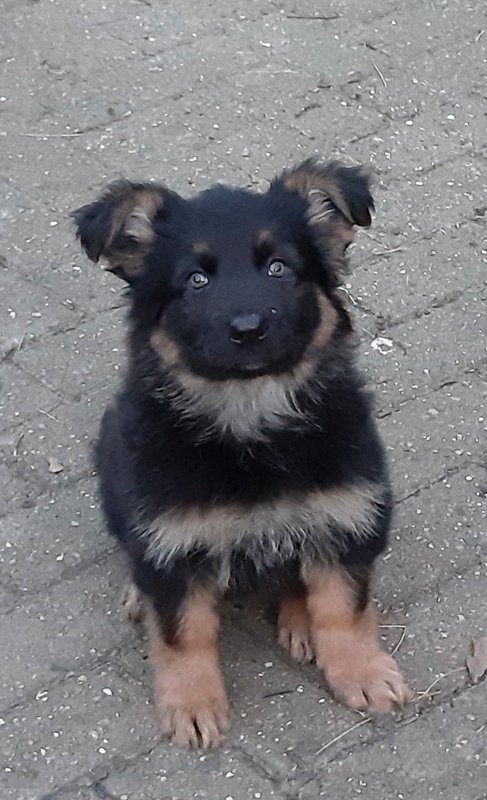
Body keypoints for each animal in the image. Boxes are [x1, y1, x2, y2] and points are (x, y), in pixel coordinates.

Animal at [73, 159, 411, 749]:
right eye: (196, 280)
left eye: (278, 267)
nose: (248, 329)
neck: (250, 417)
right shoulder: (172, 540)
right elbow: (183, 633)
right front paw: (192, 705)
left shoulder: (347, 513)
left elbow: (343, 608)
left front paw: (363, 672)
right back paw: (139, 596)